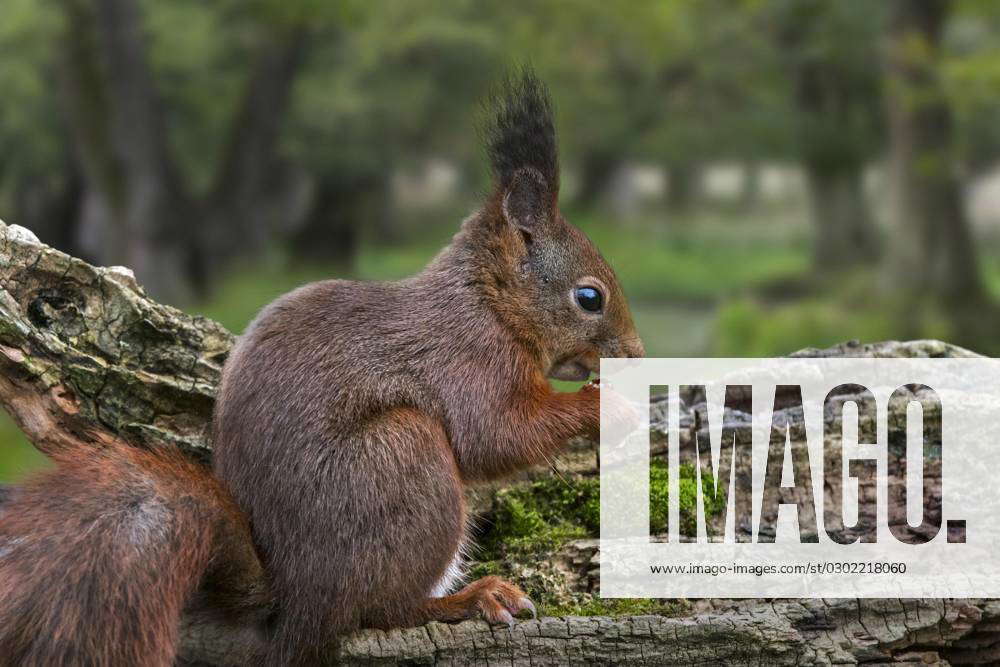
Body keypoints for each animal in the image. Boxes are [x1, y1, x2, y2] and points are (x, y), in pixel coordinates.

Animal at [0, 70, 640, 664]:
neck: (489, 302)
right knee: (381, 610)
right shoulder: (469, 360)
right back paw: (470, 598)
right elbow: (496, 436)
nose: (635, 353)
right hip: (403, 456)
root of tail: (295, 602)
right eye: (589, 297)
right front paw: (606, 405)